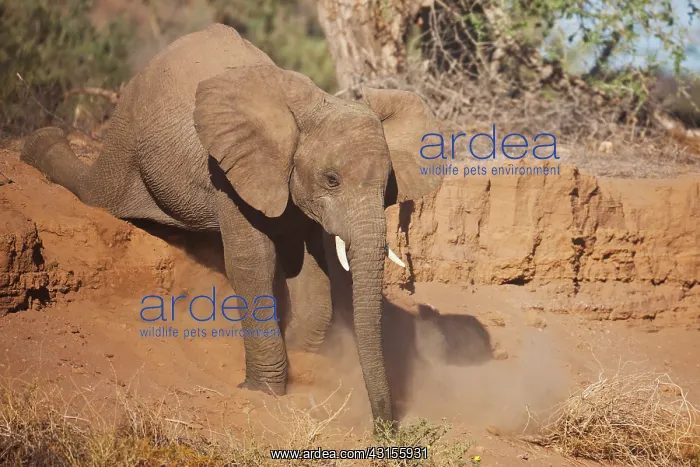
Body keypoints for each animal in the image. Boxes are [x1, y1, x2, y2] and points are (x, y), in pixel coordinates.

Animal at [19, 23, 442, 426]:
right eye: (332, 179)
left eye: (387, 185)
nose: (384, 428)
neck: (307, 107)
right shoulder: (232, 170)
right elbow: (252, 263)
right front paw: (262, 391)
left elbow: (310, 273)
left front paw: (302, 362)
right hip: (126, 138)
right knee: (95, 193)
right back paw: (38, 144)